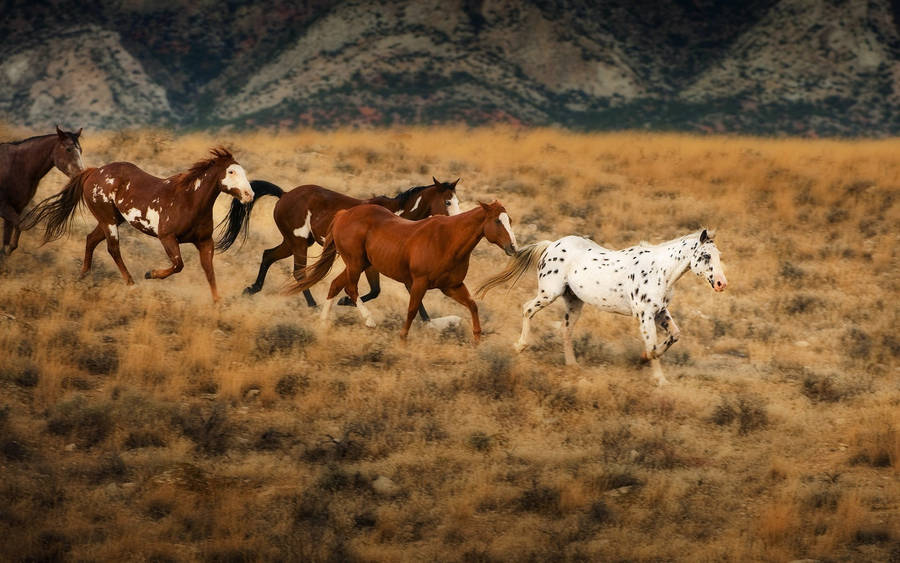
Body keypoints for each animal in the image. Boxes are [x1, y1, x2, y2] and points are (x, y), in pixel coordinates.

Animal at [0, 126, 85, 257]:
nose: (81, 174)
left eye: (80, 150)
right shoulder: (4, 207)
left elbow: (8, 240)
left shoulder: (16, 208)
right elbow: (20, 225)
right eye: (68, 149)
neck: (17, 166)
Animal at [21, 148, 253, 302]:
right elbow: (178, 265)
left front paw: (217, 303)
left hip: (112, 220)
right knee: (113, 249)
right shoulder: (167, 238)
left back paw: (83, 275)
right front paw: (150, 274)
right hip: (108, 220)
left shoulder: (205, 242)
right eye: (231, 172)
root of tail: (94, 171)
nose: (249, 194)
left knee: (91, 240)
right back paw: (131, 284)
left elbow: (209, 271)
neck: (189, 200)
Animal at [217, 176, 460, 318]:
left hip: (294, 242)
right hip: (298, 244)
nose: (456, 222)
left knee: (268, 255)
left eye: (457, 200)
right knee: (298, 272)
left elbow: (392, 290)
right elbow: (378, 290)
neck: (394, 216)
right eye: (447, 201)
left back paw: (251, 289)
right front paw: (344, 301)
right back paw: (313, 305)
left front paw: (428, 322)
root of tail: (285, 195)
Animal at [291, 201, 517, 343]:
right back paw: (369, 320)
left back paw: (323, 323)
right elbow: (412, 310)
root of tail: (344, 214)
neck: (447, 240)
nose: (513, 247)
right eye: (498, 221)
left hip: (360, 264)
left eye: (510, 220)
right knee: (350, 288)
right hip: (355, 263)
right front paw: (402, 338)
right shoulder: (419, 283)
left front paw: (477, 338)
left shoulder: (451, 286)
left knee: (336, 285)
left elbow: (472, 305)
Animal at [475, 229, 727, 384]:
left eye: (718, 255)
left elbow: (674, 335)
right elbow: (653, 346)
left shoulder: (660, 312)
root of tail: (550, 245)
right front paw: (659, 378)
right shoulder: (645, 315)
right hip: (549, 294)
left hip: (574, 302)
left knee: (565, 330)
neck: (660, 270)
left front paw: (644, 359)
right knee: (528, 309)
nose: (721, 283)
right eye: (705, 256)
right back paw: (520, 346)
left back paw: (572, 365)